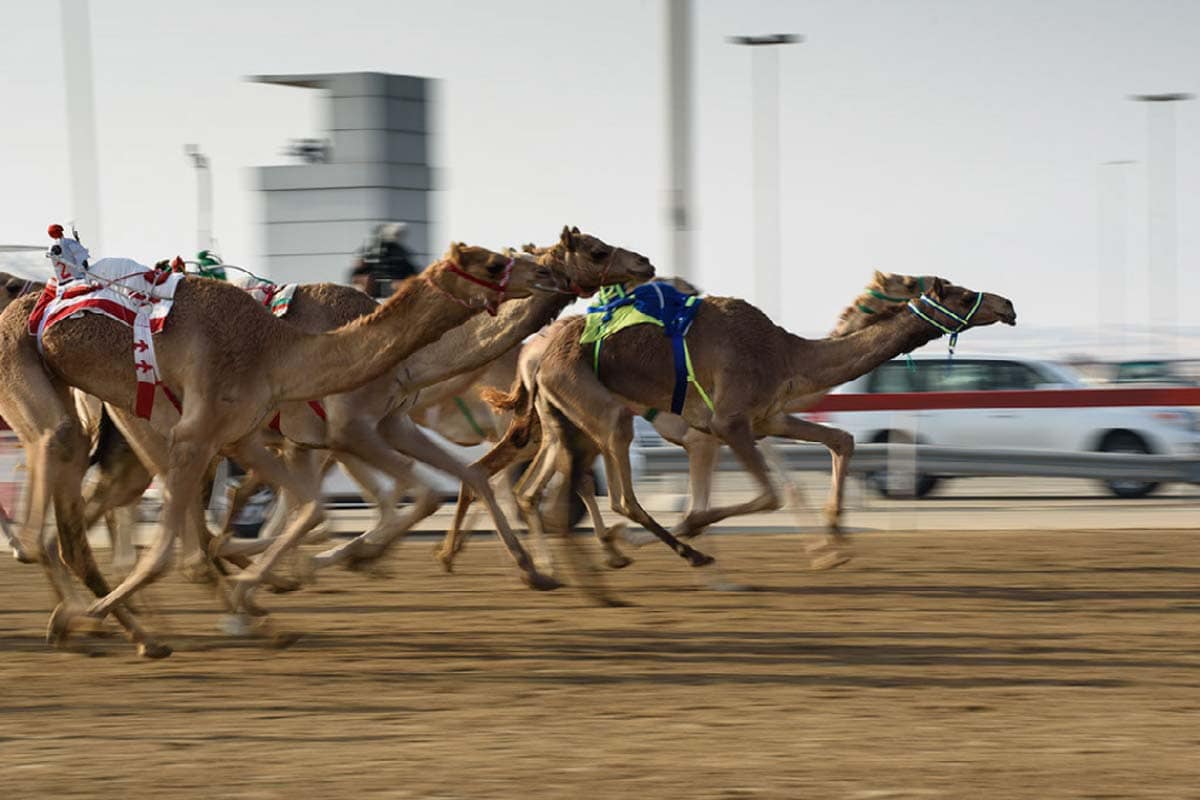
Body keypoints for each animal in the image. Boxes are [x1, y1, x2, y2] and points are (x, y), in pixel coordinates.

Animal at [0, 241, 552, 652]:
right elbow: (173, 551)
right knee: (49, 496)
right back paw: (106, 622)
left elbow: (314, 507)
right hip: (24, 366)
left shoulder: (250, 435)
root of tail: (22, 299)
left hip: (119, 410)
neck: (276, 349)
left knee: (76, 511)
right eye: (496, 262)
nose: (546, 276)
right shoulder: (236, 434)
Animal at [436, 272, 931, 573]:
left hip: (555, 425)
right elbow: (744, 497)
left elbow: (822, 456)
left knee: (515, 482)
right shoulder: (716, 432)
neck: (788, 357)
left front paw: (831, 549)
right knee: (590, 490)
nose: (942, 282)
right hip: (594, 419)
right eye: (913, 283)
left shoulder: (761, 424)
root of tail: (532, 356)